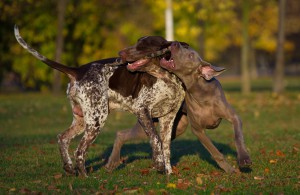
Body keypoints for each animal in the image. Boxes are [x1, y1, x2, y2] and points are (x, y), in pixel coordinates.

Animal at [15, 25, 185, 176]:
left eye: (142, 47)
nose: (120, 53)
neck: (166, 77)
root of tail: (78, 70)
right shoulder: (142, 110)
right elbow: (156, 140)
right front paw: (158, 164)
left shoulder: (168, 118)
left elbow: (166, 148)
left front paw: (168, 173)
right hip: (97, 119)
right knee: (79, 150)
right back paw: (85, 177)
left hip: (83, 120)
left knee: (62, 138)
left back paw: (69, 167)